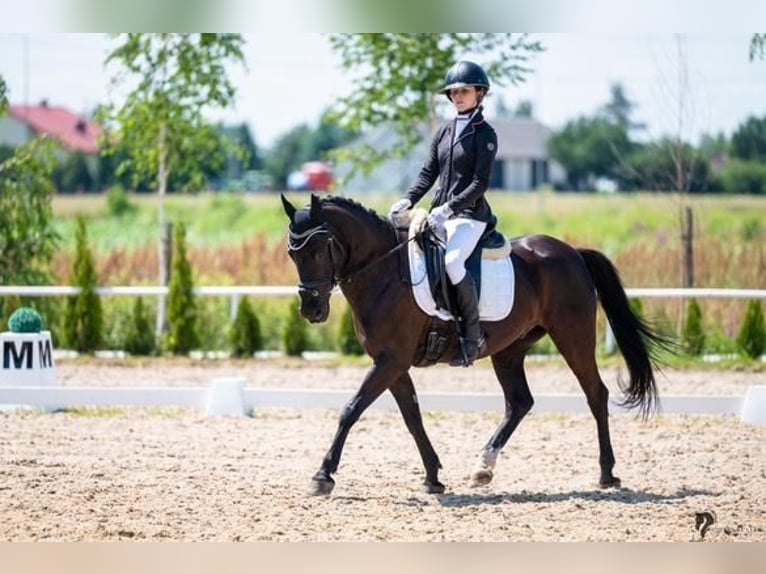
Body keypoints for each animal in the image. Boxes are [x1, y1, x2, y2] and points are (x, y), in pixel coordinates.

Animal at [282, 192, 672, 496]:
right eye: (292, 254)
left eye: (320, 249)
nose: (312, 310)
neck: (385, 273)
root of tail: (572, 253)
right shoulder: (391, 362)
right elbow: (412, 416)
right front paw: (433, 476)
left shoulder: (391, 360)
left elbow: (351, 409)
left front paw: (323, 476)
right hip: (510, 349)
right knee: (520, 402)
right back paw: (483, 467)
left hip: (572, 338)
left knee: (595, 394)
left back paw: (607, 473)